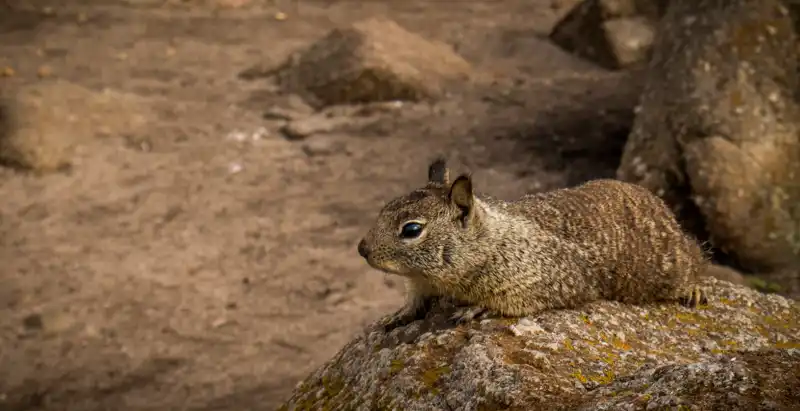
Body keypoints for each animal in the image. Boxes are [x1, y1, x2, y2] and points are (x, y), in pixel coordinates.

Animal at [357, 157, 709, 330]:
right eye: (385, 208)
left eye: (412, 229)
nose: (362, 249)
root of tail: (654, 199)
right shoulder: (420, 282)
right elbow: (413, 300)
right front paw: (398, 315)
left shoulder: (541, 278)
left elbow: (510, 300)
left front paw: (475, 307)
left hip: (670, 264)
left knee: (696, 257)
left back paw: (694, 290)